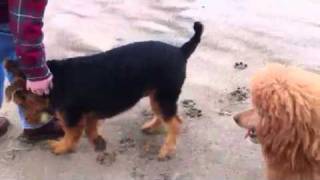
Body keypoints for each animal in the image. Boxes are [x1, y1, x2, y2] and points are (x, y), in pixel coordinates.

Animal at [5, 21, 204, 160]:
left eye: (22, 103)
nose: (28, 122)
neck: (54, 82)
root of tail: (181, 51)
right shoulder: (89, 113)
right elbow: (91, 128)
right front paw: (98, 142)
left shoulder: (72, 119)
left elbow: (70, 135)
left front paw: (60, 147)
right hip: (157, 96)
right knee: (164, 116)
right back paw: (151, 127)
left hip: (164, 96)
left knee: (175, 123)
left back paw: (166, 150)